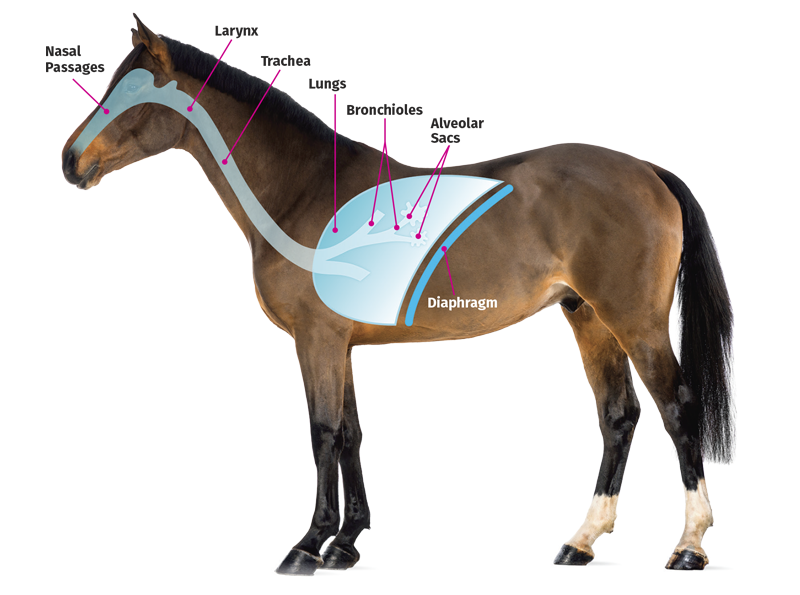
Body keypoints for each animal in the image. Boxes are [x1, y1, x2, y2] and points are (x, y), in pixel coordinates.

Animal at [61, 15, 733, 575]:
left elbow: (323, 433)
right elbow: (352, 433)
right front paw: (346, 543)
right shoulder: (341, 344)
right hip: (588, 318)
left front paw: (308, 545)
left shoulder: (317, 340)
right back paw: (580, 541)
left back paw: (688, 546)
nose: (70, 160)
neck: (306, 190)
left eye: (133, 92)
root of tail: (646, 170)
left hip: (634, 321)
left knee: (678, 409)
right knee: (618, 416)